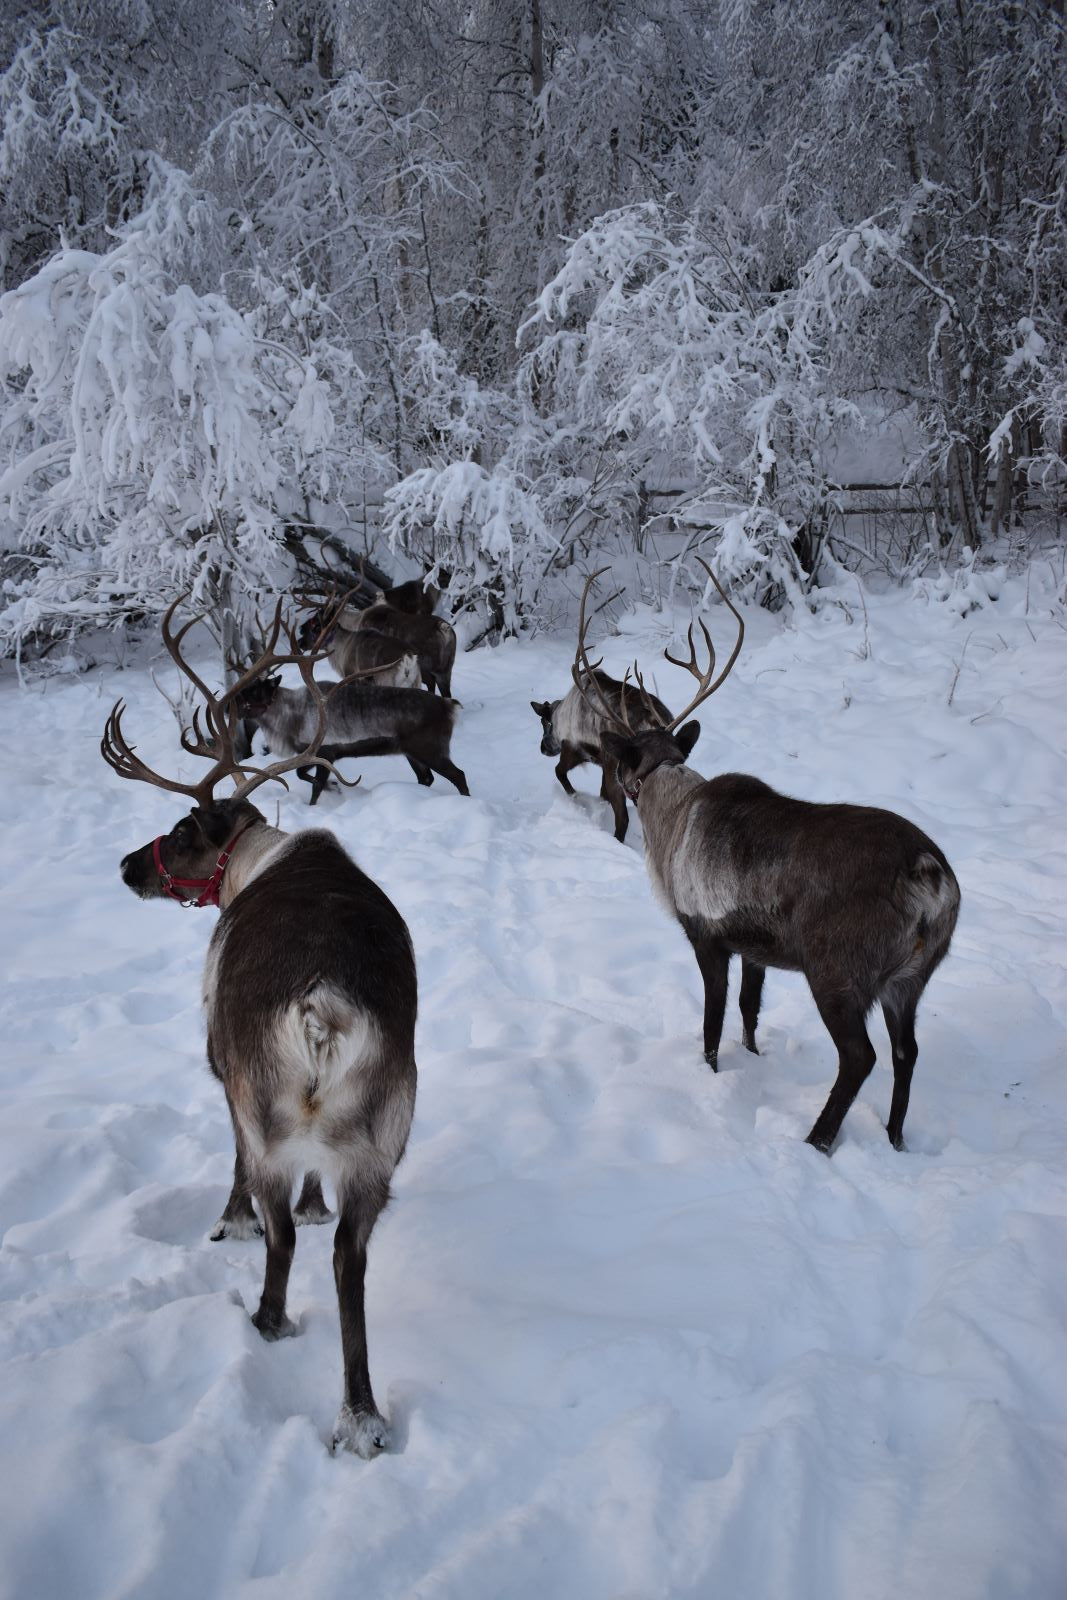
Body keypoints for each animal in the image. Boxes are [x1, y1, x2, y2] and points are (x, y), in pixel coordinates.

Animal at [102, 599, 417, 1457]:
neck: (257, 862)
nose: (125, 867)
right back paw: (360, 1416)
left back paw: (266, 1321)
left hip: (263, 1101)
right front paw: (314, 1201)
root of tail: (321, 1007)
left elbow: (239, 1174)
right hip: (383, 1141)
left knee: (283, 1238)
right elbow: (317, 1200)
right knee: (348, 1256)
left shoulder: (223, 1074)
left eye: (182, 829)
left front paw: (229, 1222)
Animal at [236, 674, 469, 803]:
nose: (234, 704)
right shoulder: (311, 754)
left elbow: (315, 786)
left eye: (256, 691)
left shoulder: (325, 754)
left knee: (458, 775)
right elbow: (301, 774)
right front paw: (334, 786)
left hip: (431, 750)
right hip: (411, 753)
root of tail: (448, 706)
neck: (293, 715)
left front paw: (327, 792)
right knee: (426, 778)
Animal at [531, 669, 672, 842]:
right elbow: (602, 795)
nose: (543, 748)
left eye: (544, 722)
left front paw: (576, 798)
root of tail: (651, 722)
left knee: (623, 818)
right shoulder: (603, 764)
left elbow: (559, 772)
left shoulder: (574, 750)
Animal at [577, 562, 961, 1154]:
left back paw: (816, 1141)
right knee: (906, 1052)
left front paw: (710, 1077)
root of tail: (930, 875)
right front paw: (753, 1060)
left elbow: (712, 1023)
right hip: (911, 979)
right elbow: (749, 1011)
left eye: (622, 761)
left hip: (837, 969)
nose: (611, 780)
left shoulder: (706, 933)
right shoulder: (754, 947)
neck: (670, 822)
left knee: (861, 1056)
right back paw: (895, 1138)